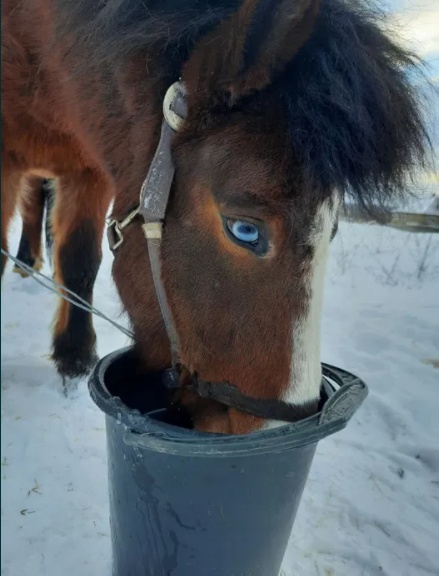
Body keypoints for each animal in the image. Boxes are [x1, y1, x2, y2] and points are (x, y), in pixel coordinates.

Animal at [0, 0, 430, 432]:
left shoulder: (90, 171)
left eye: (333, 229)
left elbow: (79, 263)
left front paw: (72, 360)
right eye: (244, 229)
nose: (273, 431)